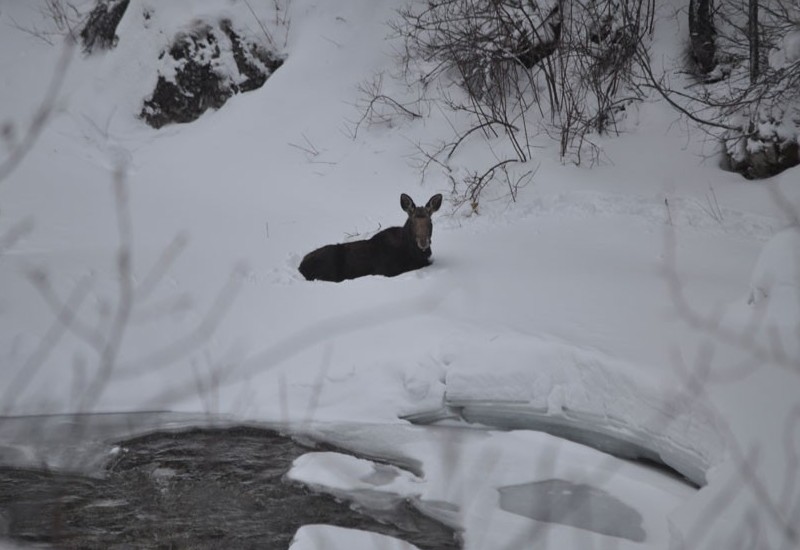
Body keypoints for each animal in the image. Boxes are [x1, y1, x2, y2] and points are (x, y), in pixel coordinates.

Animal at [300, 194, 444, 282]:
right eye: (412, 221)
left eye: (430, 221)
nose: (423, 242)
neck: (413, 253)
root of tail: (300, 267)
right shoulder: (385, 271)